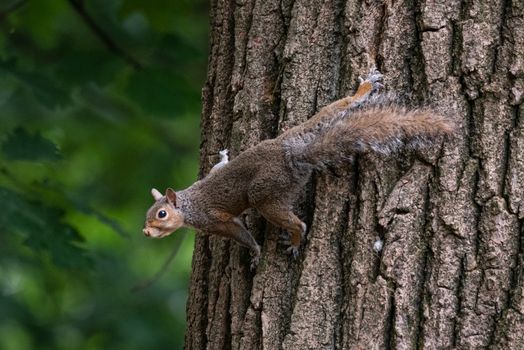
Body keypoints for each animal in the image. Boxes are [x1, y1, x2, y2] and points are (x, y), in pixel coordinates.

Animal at [142, 68, 454, 266]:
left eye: (161, 214)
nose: (145, 233)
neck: (188, 203)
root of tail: (293, 155)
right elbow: (218, 169)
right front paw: (222, 157)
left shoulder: (214, 220)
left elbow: (240, 233)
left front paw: (255, 253)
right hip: (303, 130)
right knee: (340, 106)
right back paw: (363, 89)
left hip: (267, 197)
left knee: (298, 222)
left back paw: (293, 240)